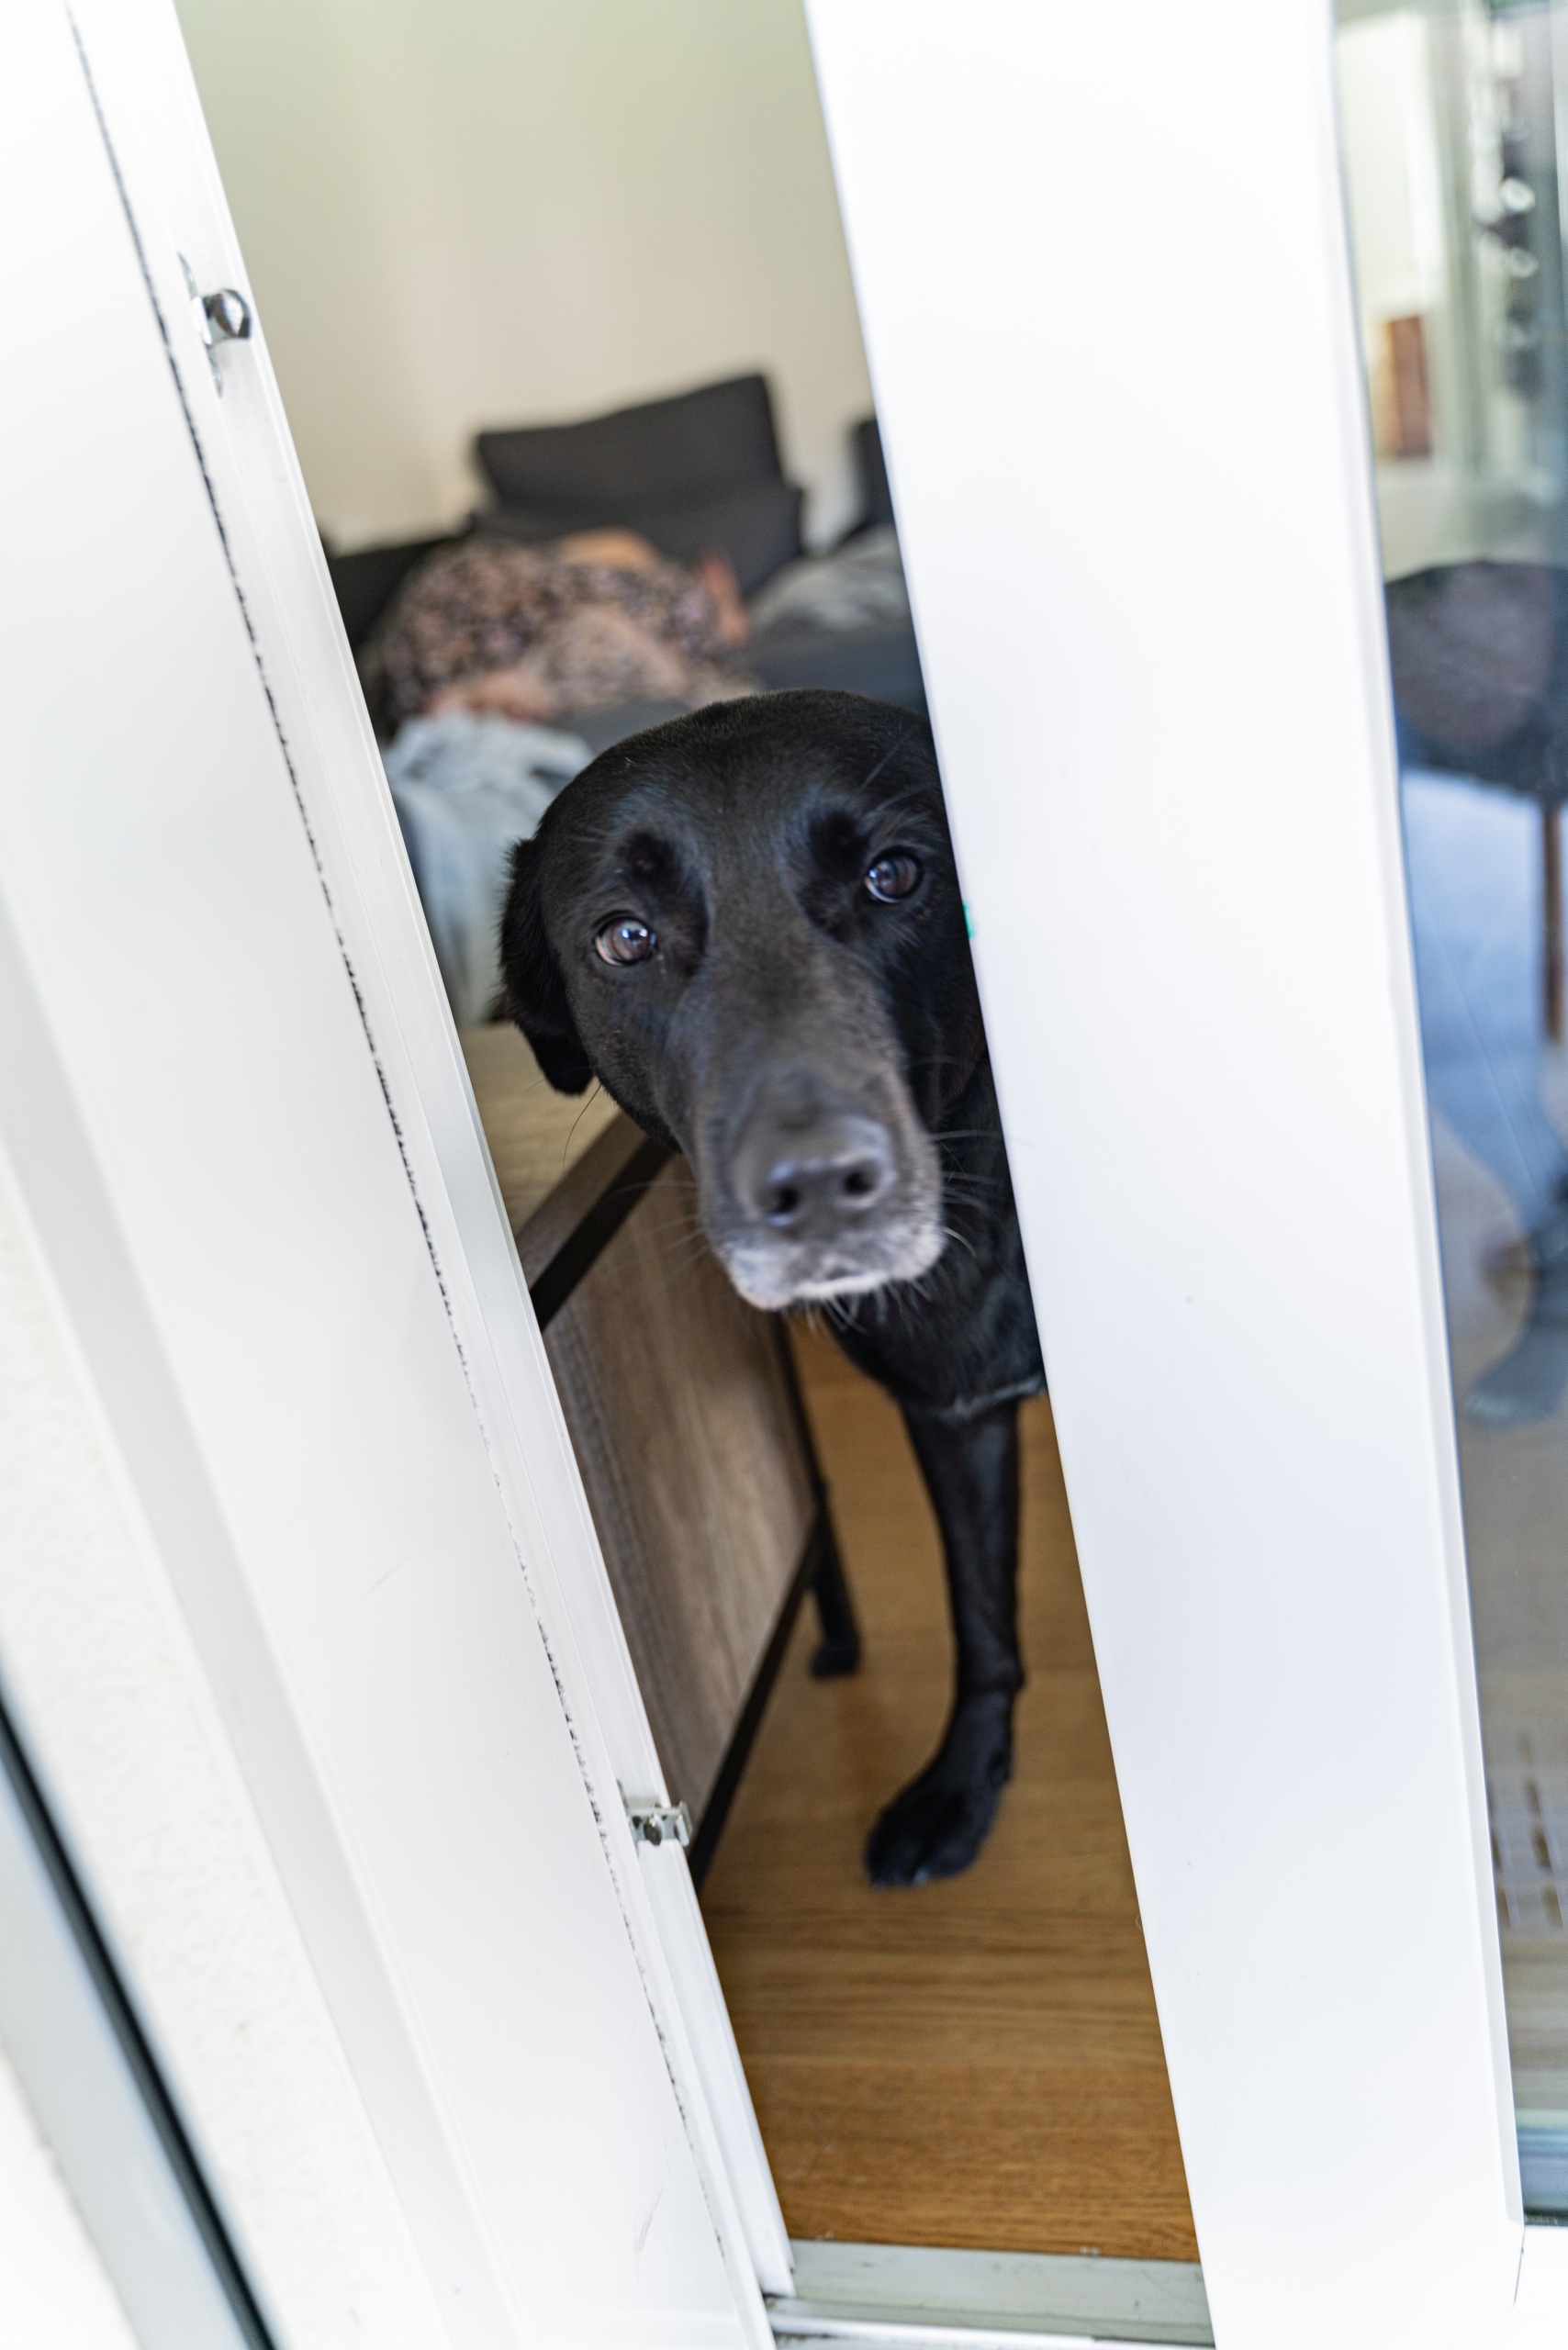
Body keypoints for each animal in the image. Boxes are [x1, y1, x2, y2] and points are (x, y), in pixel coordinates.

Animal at [502, 689, 1044, 1885]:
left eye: (896, 874)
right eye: (625, 936)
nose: (822, 1186)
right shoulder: (954, 1414)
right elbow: (979, 1613)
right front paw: (964, 1783)